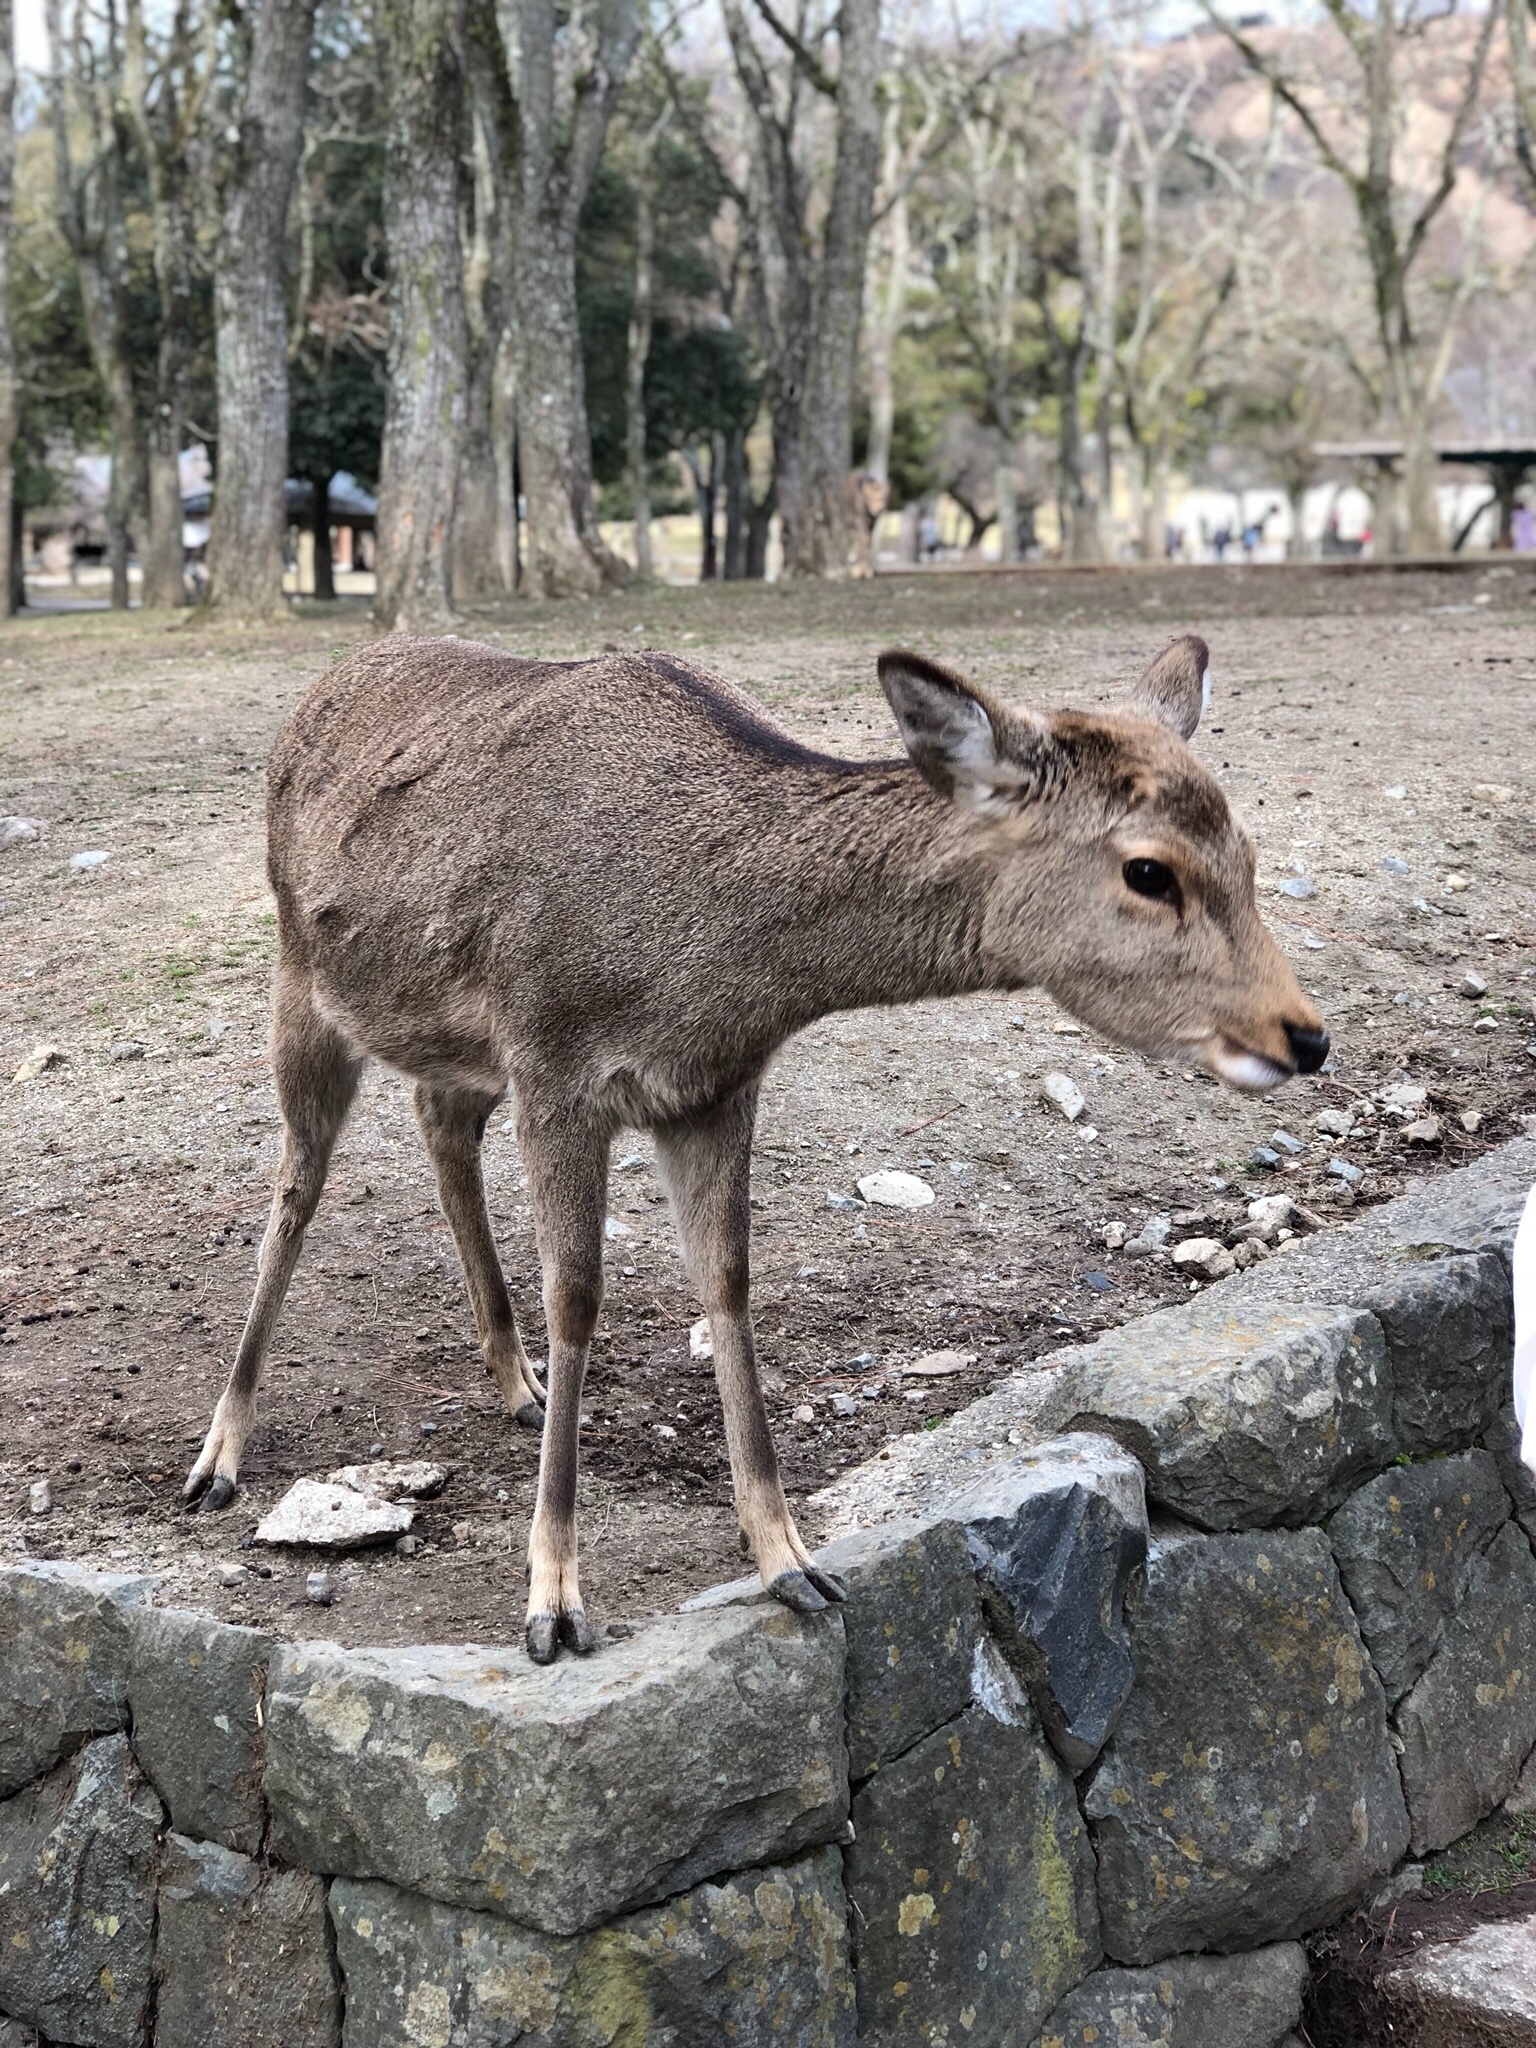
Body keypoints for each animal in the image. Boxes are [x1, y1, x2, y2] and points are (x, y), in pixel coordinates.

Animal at [186, 630, 1327, 1654]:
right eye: (1149, 870)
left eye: (1247, 853)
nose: (1305, 1035)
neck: (713, 967)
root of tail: (316, 694)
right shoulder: (552, 1062)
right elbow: (580, 1296)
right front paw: (553, 1599)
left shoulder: (713, 1088)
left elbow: (728, 1283)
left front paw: (788, 1558)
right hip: (302, 977)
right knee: (295, 1186)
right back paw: (219, 1453)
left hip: (453, 1046)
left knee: (437, 1124)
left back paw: (515, 1382)